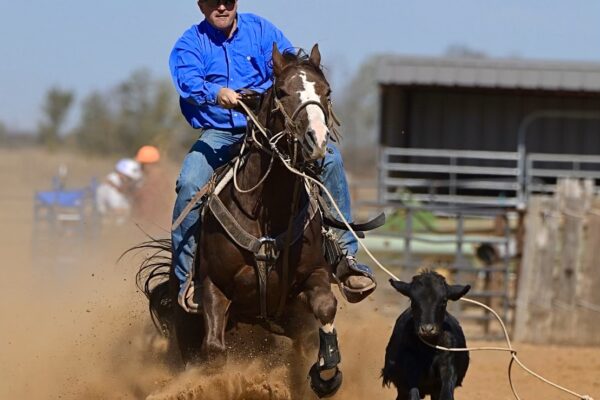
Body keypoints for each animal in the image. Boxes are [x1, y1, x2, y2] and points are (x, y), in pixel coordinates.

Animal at [382, 270, 472, 398]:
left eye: (444, 301)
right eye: (413, 300)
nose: (427, 329)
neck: (429, 349)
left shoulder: (448, 366)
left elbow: (446, 393)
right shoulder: (410, 368)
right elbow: (414, 393)